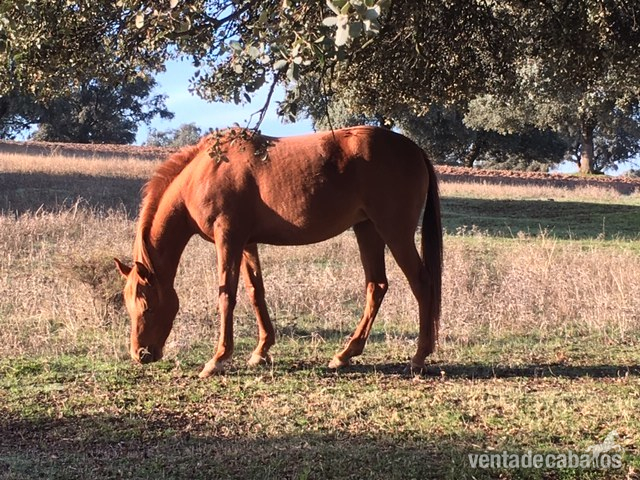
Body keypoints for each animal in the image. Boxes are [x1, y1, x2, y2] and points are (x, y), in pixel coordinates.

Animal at [114, 126, 442, 378]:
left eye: (147, 307)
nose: (140, 354)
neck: (205, 172)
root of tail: (413, 149)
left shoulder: (228, 240)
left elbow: (226, 296)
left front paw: (217, 359)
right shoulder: (247, 244)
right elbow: (255, 292)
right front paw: (261, 351)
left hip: (394, 231)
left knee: (421, 282)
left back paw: (418, 357)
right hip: (367, 230)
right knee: (377, 286)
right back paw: (345, 354)